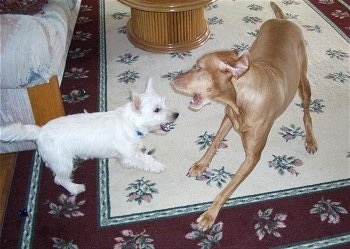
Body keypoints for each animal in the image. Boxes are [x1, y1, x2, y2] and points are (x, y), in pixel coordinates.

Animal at [0, 79, 178, 196]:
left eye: (165, 103)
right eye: (156, 110)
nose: (176, 114)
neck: (131, 123)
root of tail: (40, 131)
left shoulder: (128, 153)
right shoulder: (129, 153)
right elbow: (146, 159)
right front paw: (159, 166)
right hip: (64, 162)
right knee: (59, 179)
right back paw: (76, 188)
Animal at [172, 2, 318, 231]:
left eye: (198, 68)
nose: (173, 80)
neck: (241, 102)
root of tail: (283, 19)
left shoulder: (252, 156)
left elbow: (229, 186)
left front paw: (209, 214)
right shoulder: (228, 118)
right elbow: (213, 143)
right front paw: (200, 165)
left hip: (303, 82)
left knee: (306, 113)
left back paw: (310, 139)